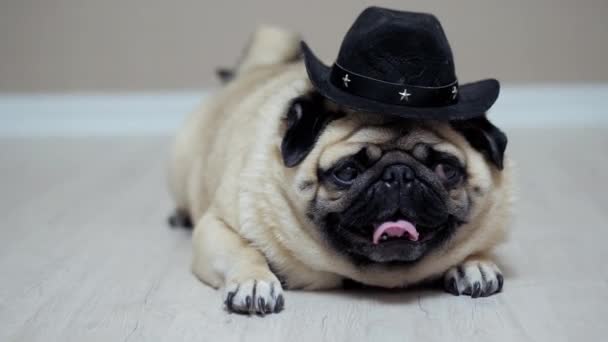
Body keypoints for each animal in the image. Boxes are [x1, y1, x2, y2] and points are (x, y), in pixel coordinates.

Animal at [167, 23, 512, 316]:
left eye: (445, 169)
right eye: (346, 172)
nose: (399, 174)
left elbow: (472, 245)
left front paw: (474, 263)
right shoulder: (217, 226)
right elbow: (244, 249)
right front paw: (255, 281)